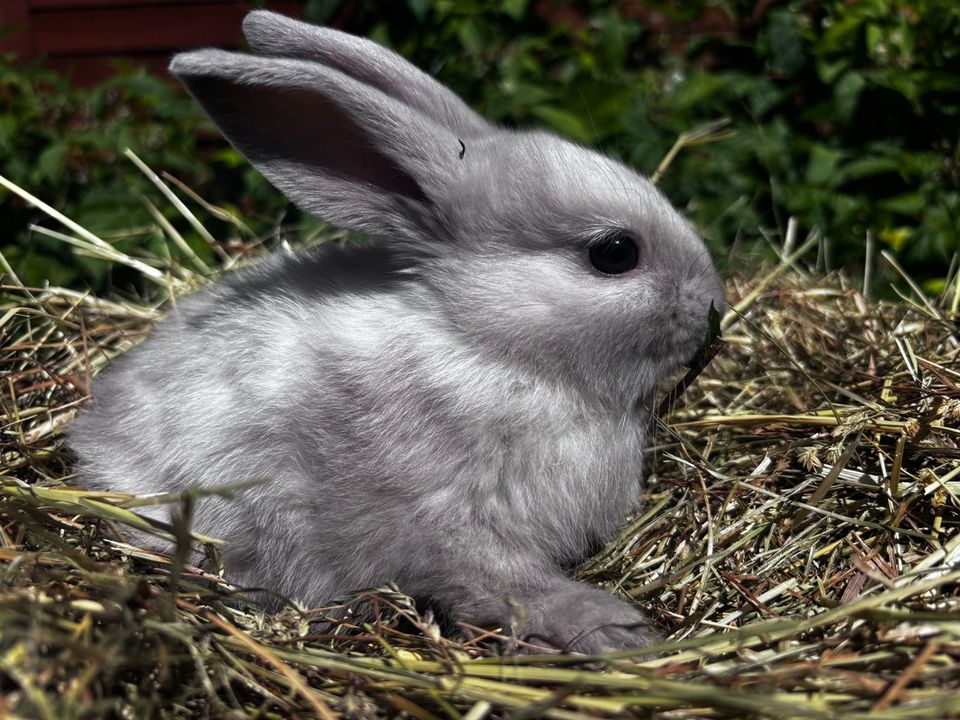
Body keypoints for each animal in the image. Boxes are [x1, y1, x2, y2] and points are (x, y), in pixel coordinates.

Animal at [67, 11, 724, 652]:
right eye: (614, 253)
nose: (712, 304)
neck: (484, 342)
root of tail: (93, 436)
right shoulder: (452, 522)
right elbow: (502, 583)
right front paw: (610, 629)